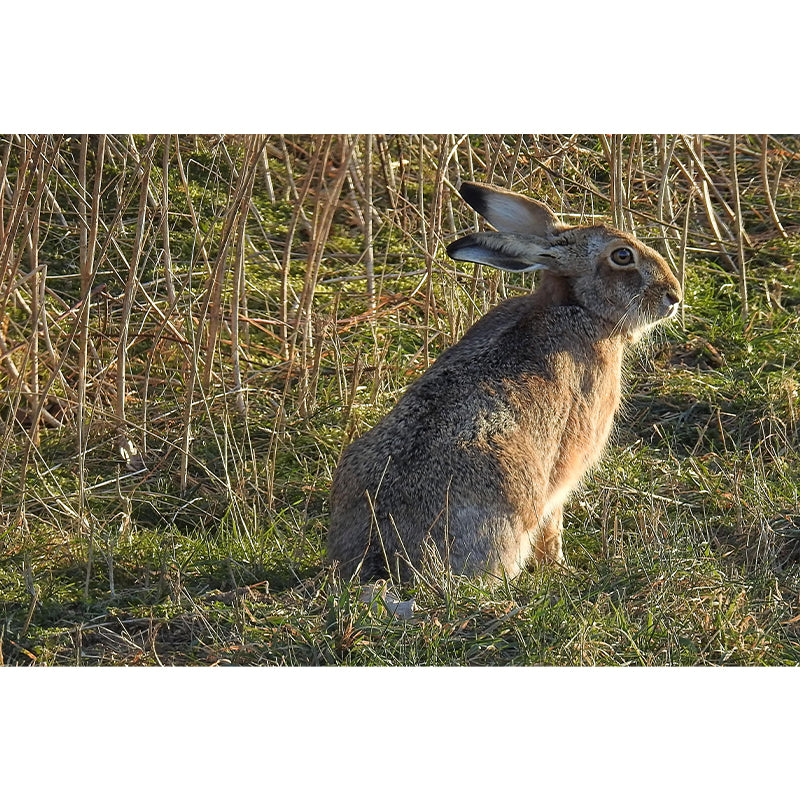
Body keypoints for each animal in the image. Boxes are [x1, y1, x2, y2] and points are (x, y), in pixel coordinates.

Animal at [327, 181, 682, 583]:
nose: (673, 295)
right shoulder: (565, 469)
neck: (578, 306)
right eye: (622, 256)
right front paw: (559, 567)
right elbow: (554, 520)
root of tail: (381, 549)